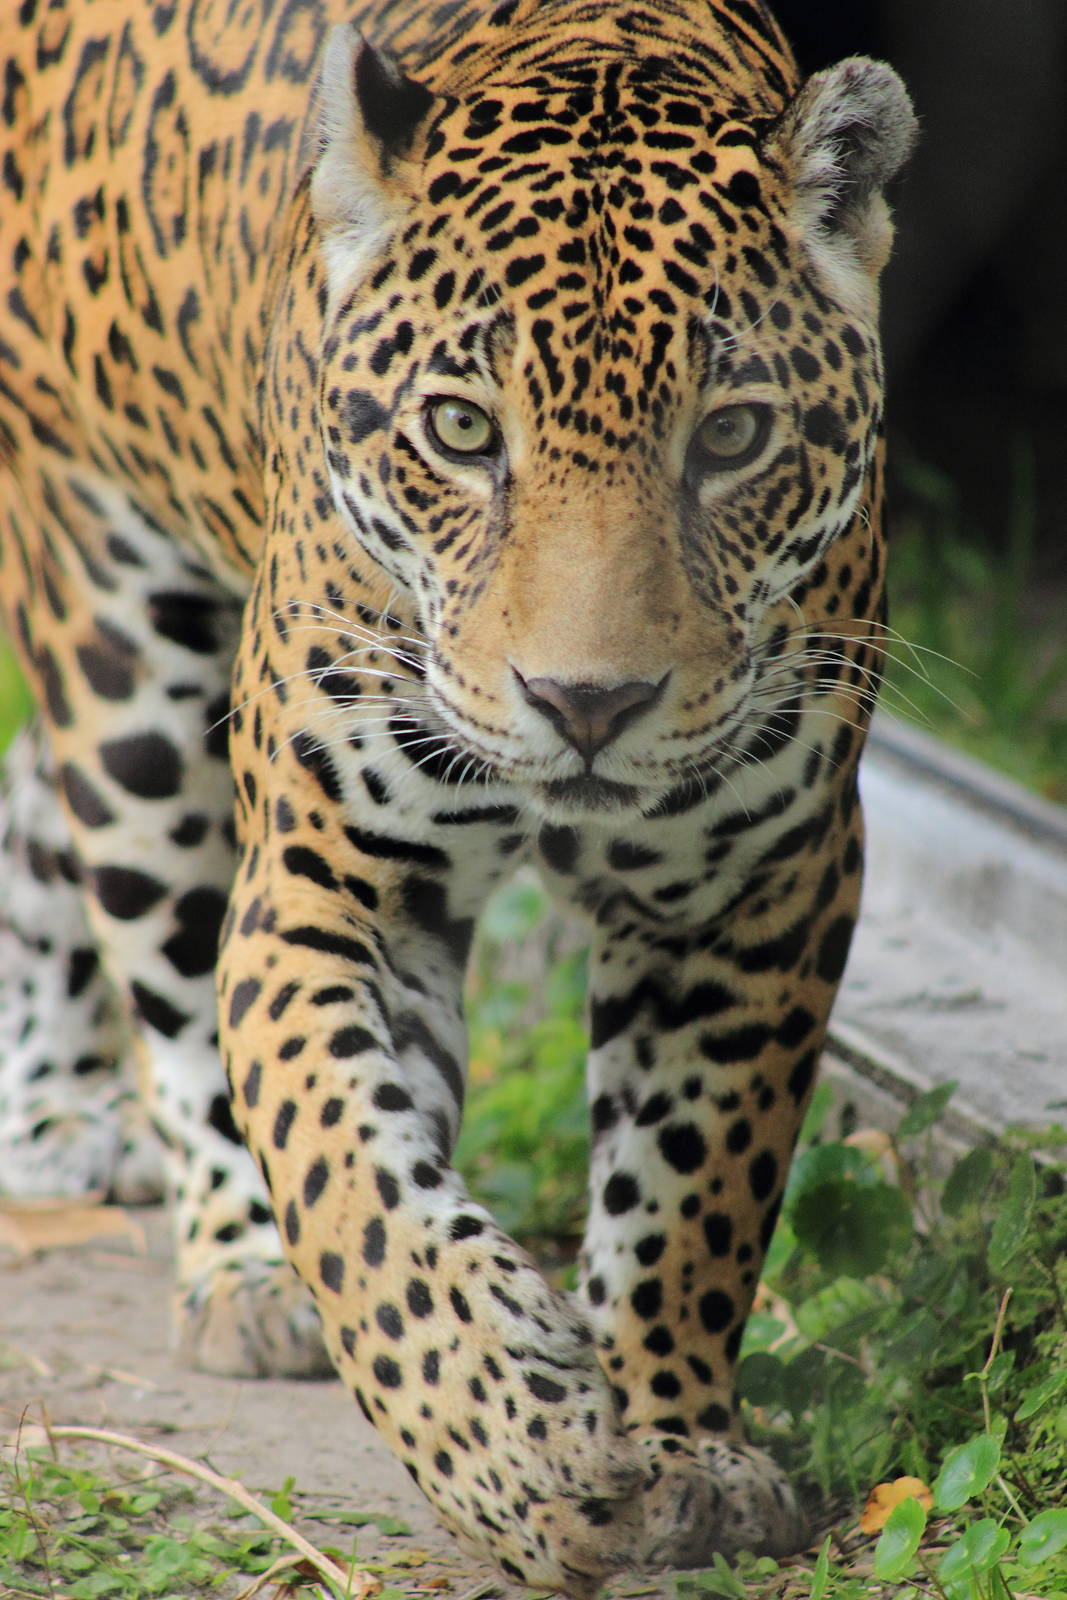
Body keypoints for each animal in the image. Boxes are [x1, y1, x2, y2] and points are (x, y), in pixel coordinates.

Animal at [0, 0, 916, 1591]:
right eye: (460, 430)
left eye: (729, 438)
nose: (586, 705)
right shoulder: (329, 895)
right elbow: (354, 1191)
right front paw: (514, 1448)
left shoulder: (759, 891)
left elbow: (693, 1184)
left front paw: (675, 1441)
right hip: (110, 616)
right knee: (154, 944)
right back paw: (230, 1261)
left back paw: (51, 1105)